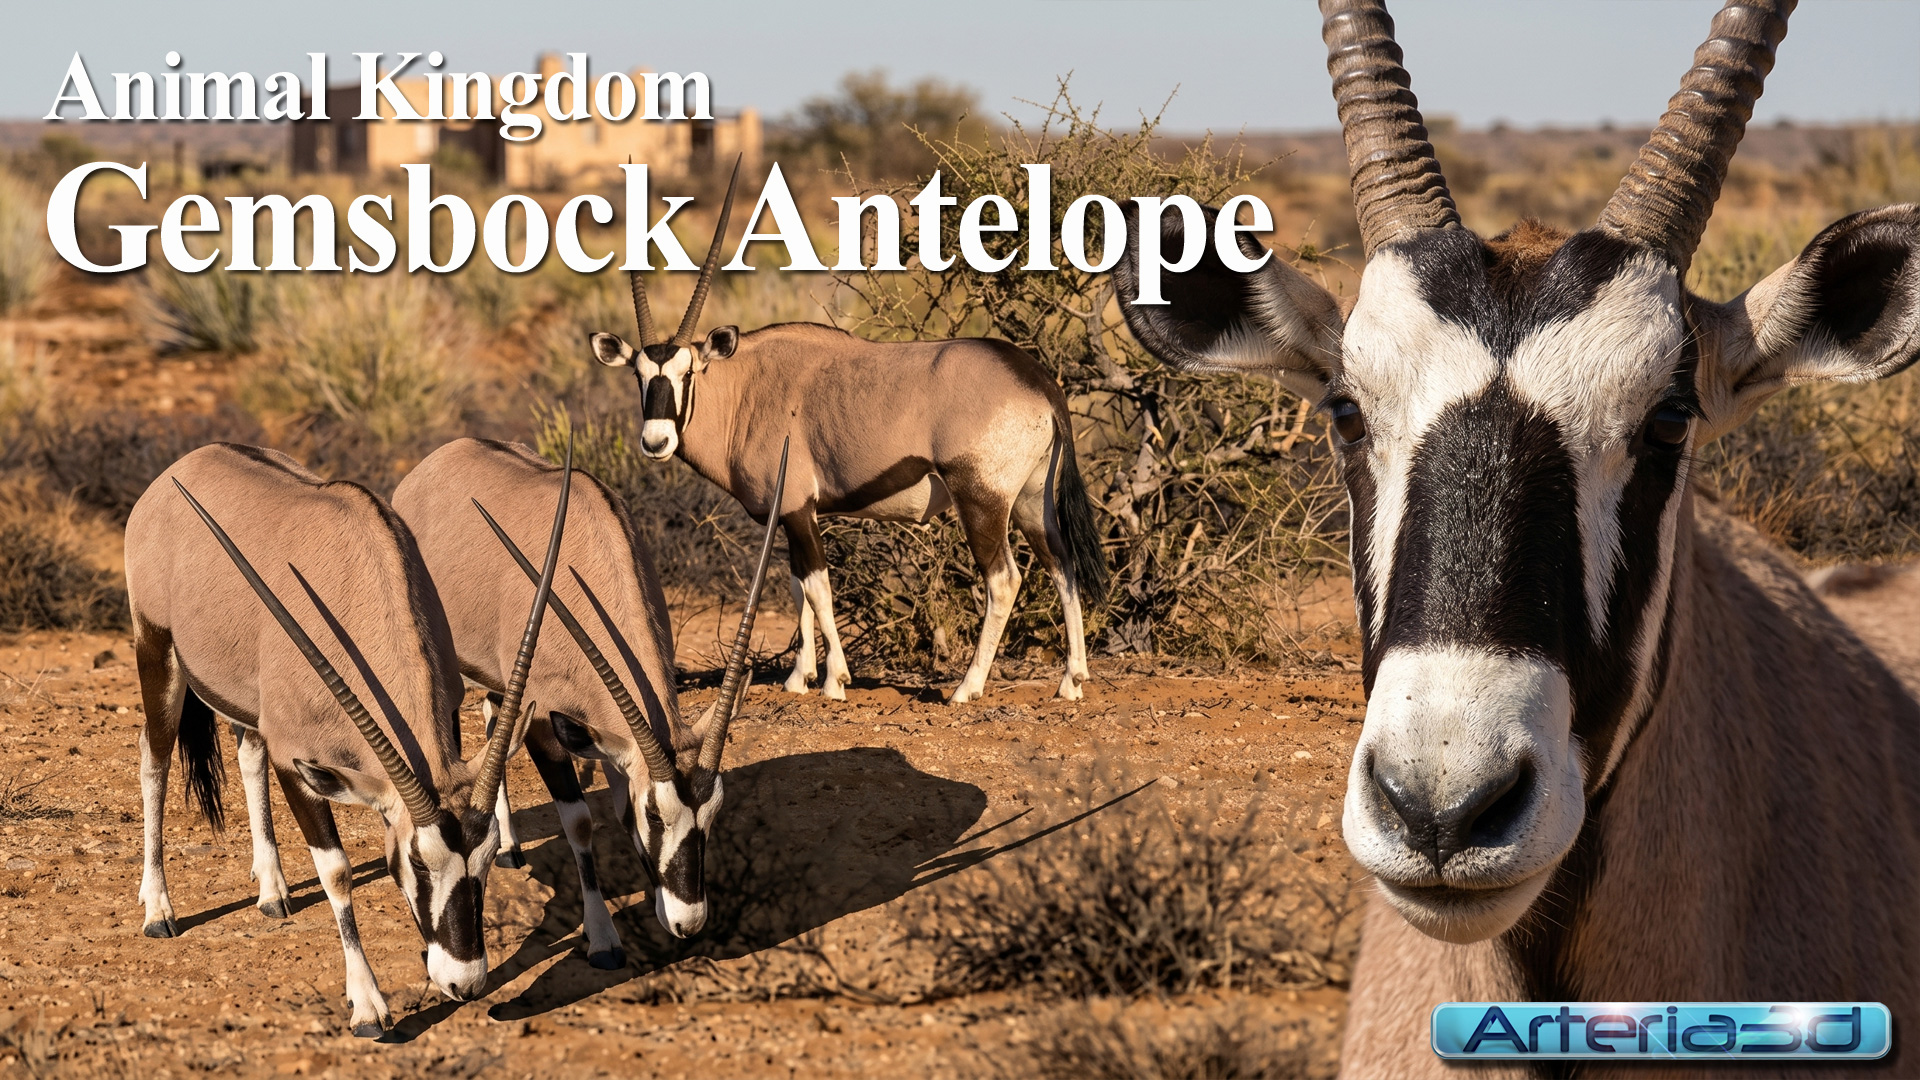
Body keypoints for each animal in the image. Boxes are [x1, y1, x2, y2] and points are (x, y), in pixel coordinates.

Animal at [123, 443, 569, 1037]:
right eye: (418, 863)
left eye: (491, 855)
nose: (465, 983)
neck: (361, 578)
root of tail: (178, 470)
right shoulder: (296, 759)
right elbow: (336, 871)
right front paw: (368, 1008)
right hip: (158, 651)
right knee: (154, 758)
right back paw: (159, 909)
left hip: (245, 700)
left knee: (247, 754)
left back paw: (271, 891)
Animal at [393, 435, 788, 954]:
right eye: (654, 815)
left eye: (715, 811)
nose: (689, 923)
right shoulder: (545, 723)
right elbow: (579, 821)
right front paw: (603, 939)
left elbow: (615, 808)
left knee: (494, 717)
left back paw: (510, 848)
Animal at [589, 162, 1110, 703]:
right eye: (638, 376)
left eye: (688, 372)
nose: (656, 442)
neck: (746, 390)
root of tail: (1038, 381)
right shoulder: (788, 517)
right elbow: (796, 586)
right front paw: (799, 677)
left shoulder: (798, 508)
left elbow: (818, 588)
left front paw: (834, 679)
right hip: (1031, 500)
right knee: (1062, 563)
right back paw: (1072, 679)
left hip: (981, 500)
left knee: (1004, 579)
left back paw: (968, 687)